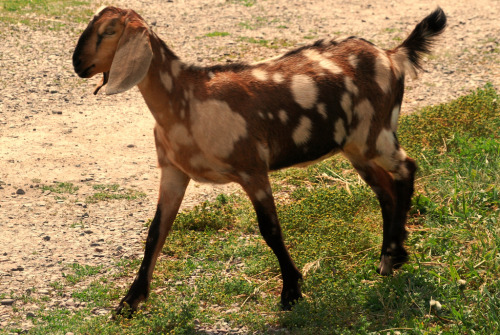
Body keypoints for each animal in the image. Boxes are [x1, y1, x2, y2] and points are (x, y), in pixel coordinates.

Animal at [72, 7, 448, 318]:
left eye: (108, 31)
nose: (78, 64)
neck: (187, 100)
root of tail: (392, 55)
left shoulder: (252, 168)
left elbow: (270, 230)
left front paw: (291, 291)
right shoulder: (174, 171)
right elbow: (155, 233)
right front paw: (128, 303)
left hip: (376, 133)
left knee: (407, 169)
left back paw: (393, 254)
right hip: (355, 148)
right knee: (386, 191)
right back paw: (390, 258)